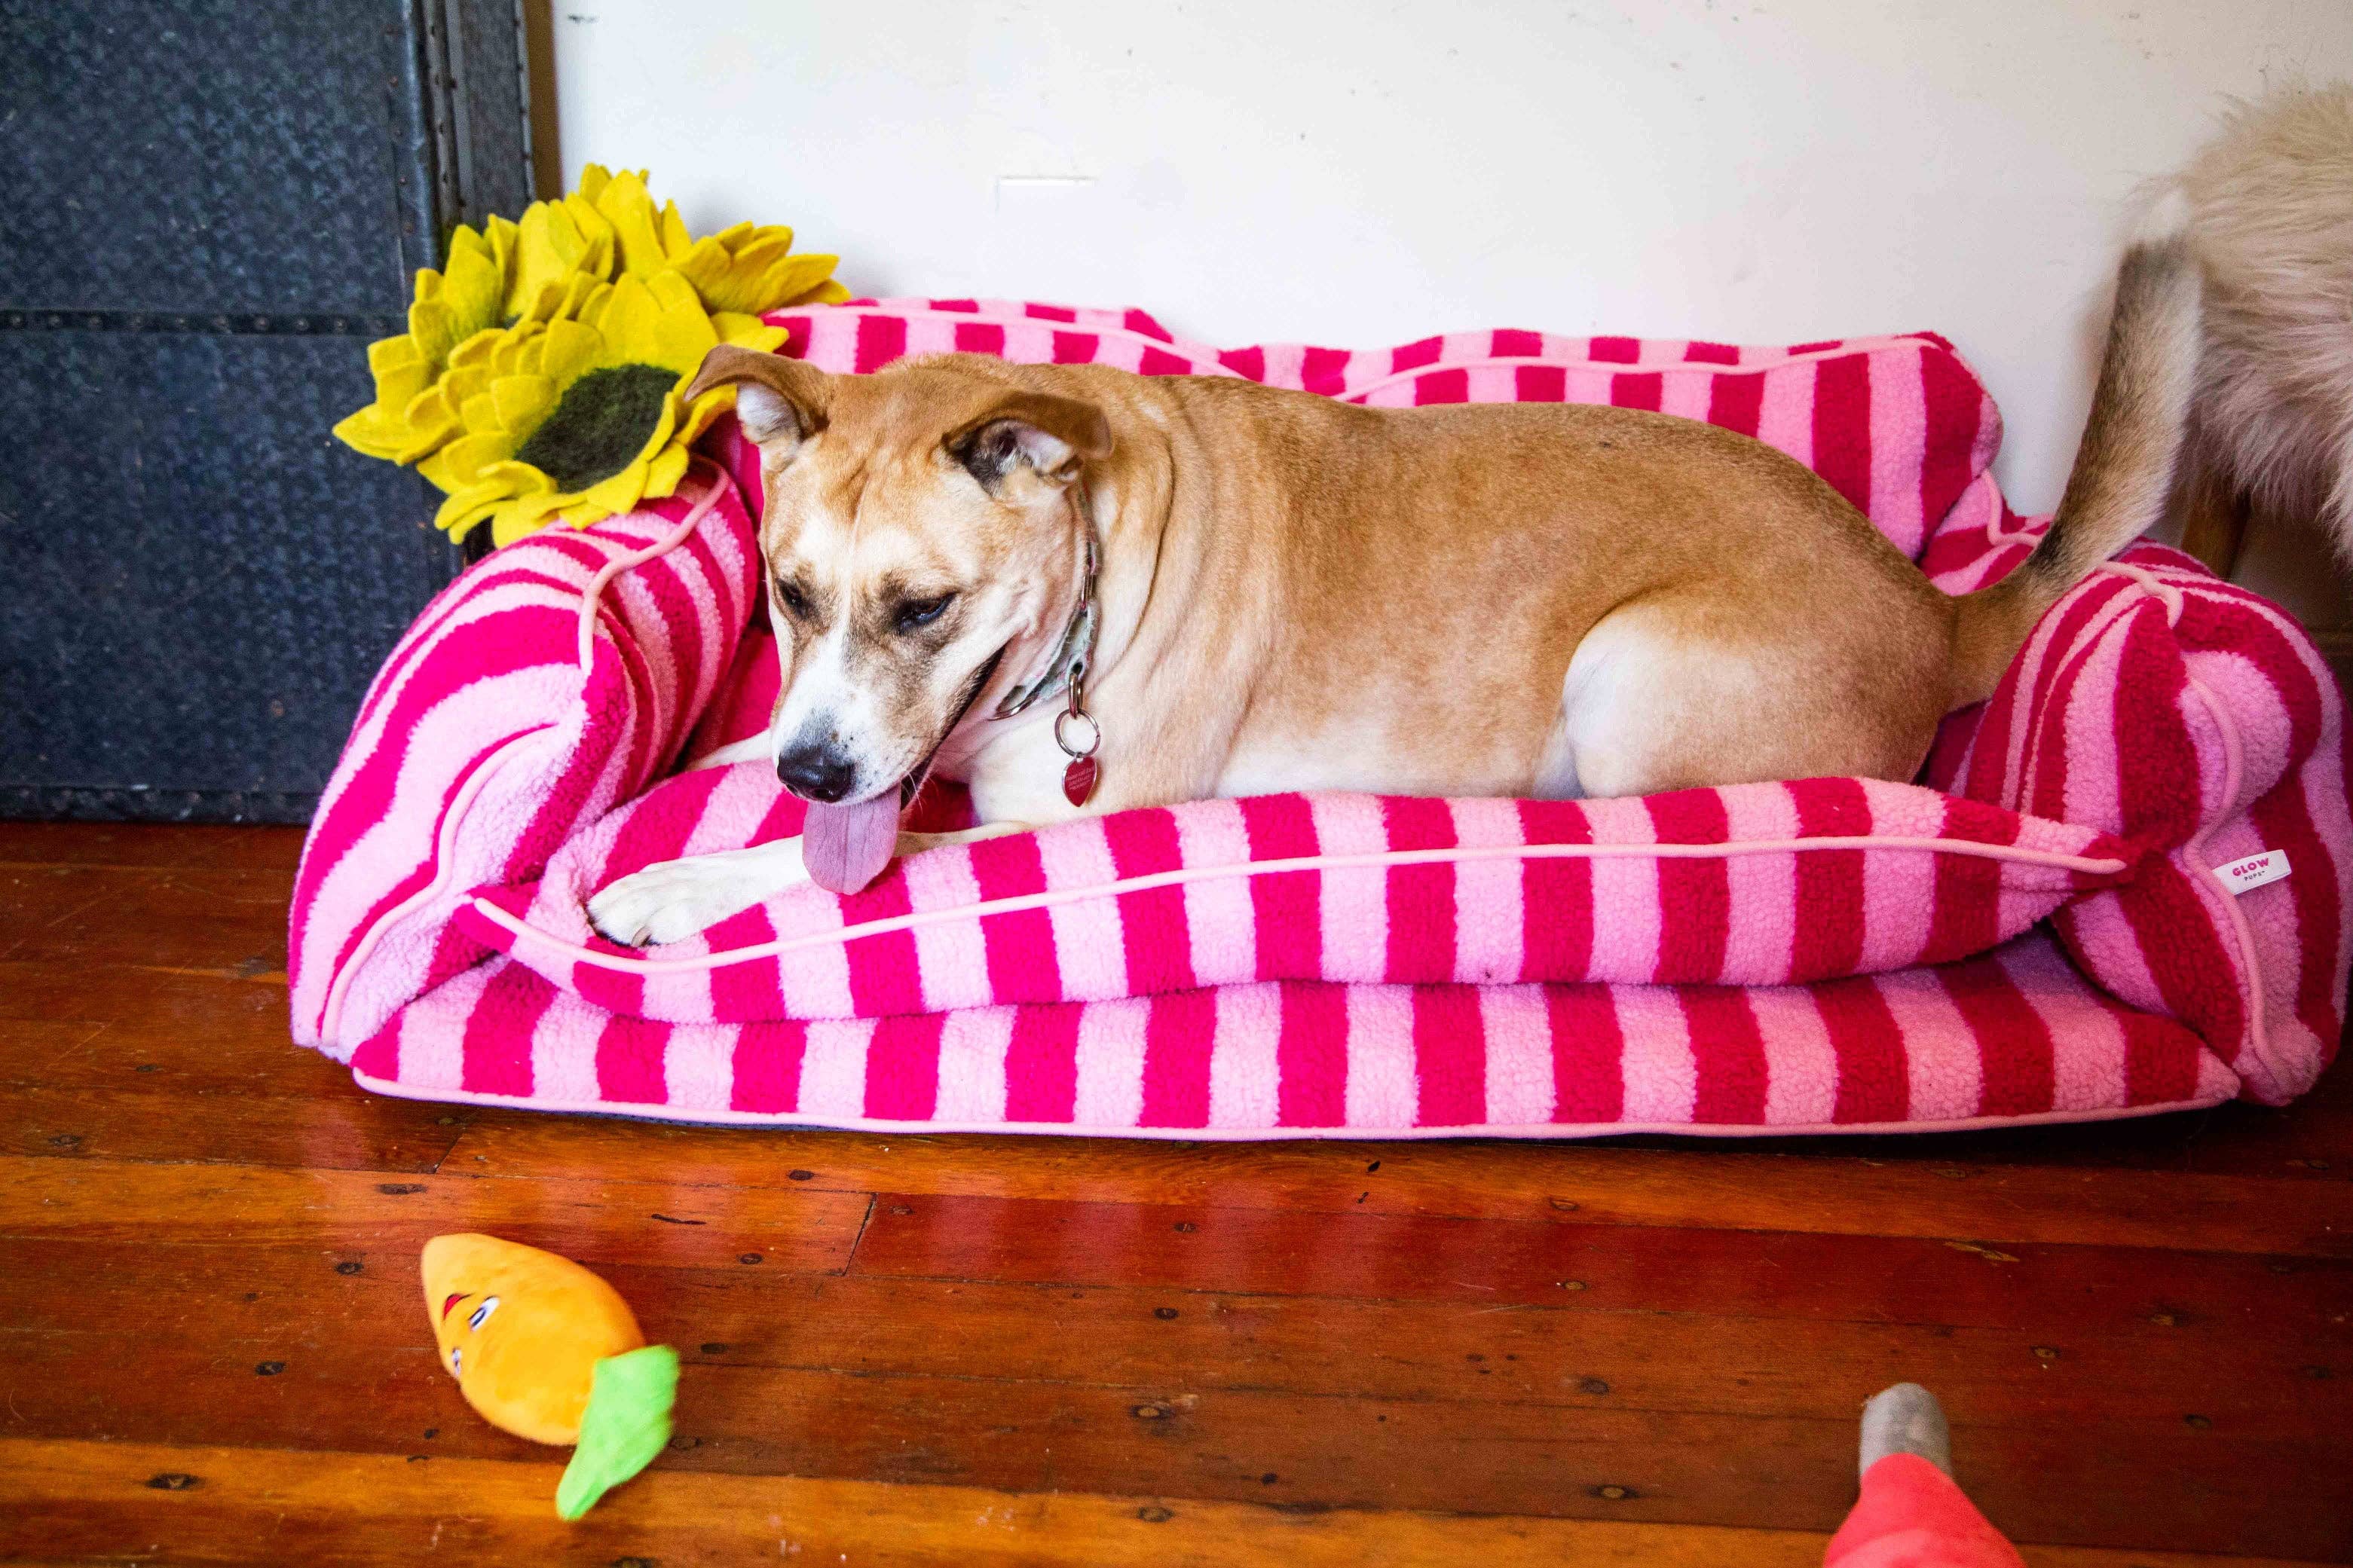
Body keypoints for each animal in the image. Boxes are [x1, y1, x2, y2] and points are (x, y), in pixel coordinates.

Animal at [574, 101, 2334, 958]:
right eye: (788, 596)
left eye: (923, 609)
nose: (814, 770)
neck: (1094, 574)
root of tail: (1934, 599)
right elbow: (808, 812)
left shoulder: (1058, 832)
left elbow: (849, 873)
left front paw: (673, 891)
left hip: (1629, 677)